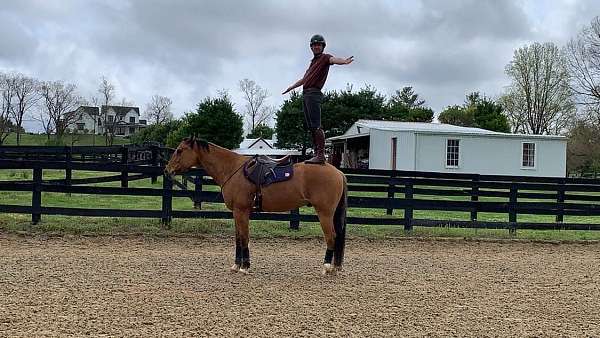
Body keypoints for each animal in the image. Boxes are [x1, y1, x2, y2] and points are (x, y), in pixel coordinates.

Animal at [164, 137, 346, 274]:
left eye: (179, 150)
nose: (167, 170)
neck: (233, 169)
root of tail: (338, 172)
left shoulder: (241, 212)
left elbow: (244, 238)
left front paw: (245, 267)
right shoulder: (236, 213)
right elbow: (238, 238)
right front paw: (236, 265)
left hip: (325, 213)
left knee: (331, 237)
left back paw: (327, 267)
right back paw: (334, 267)